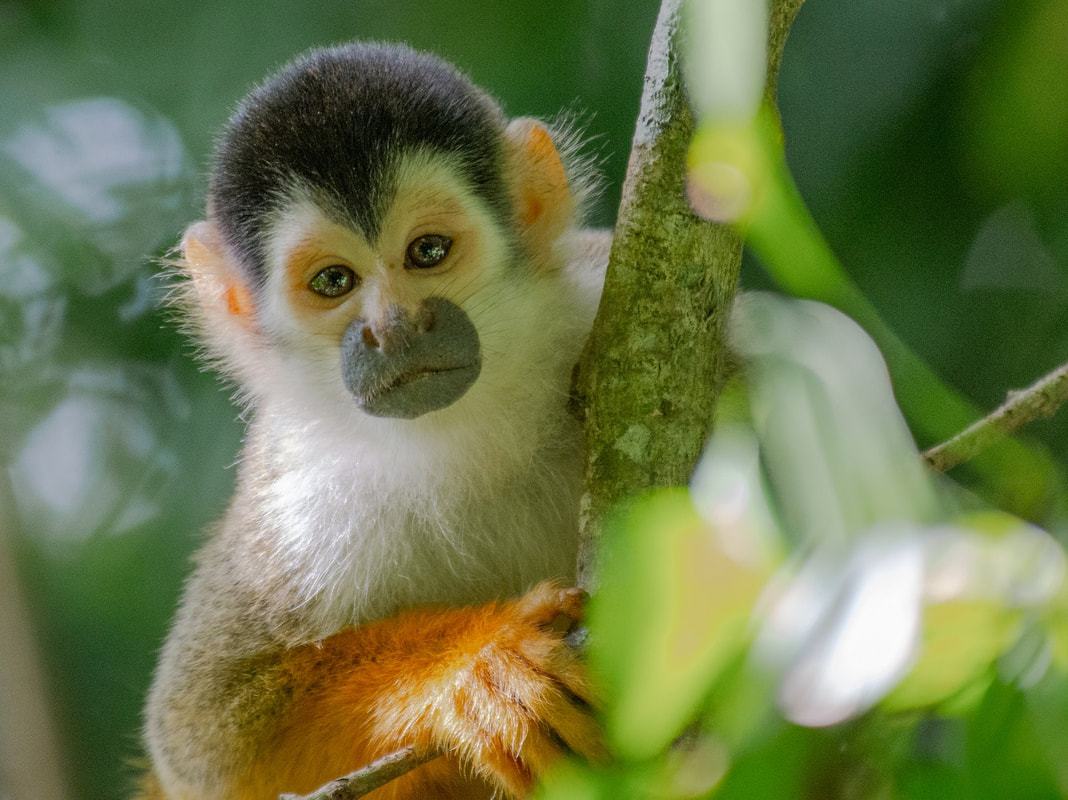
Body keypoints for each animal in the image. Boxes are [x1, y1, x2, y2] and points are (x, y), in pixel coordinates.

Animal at [137, 42, 610, 800]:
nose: (394, 328)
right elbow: (207, 741)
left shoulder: (598, 291)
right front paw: (473, 671)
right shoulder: (293, 502)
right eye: (334, 282)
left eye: (428, 251)